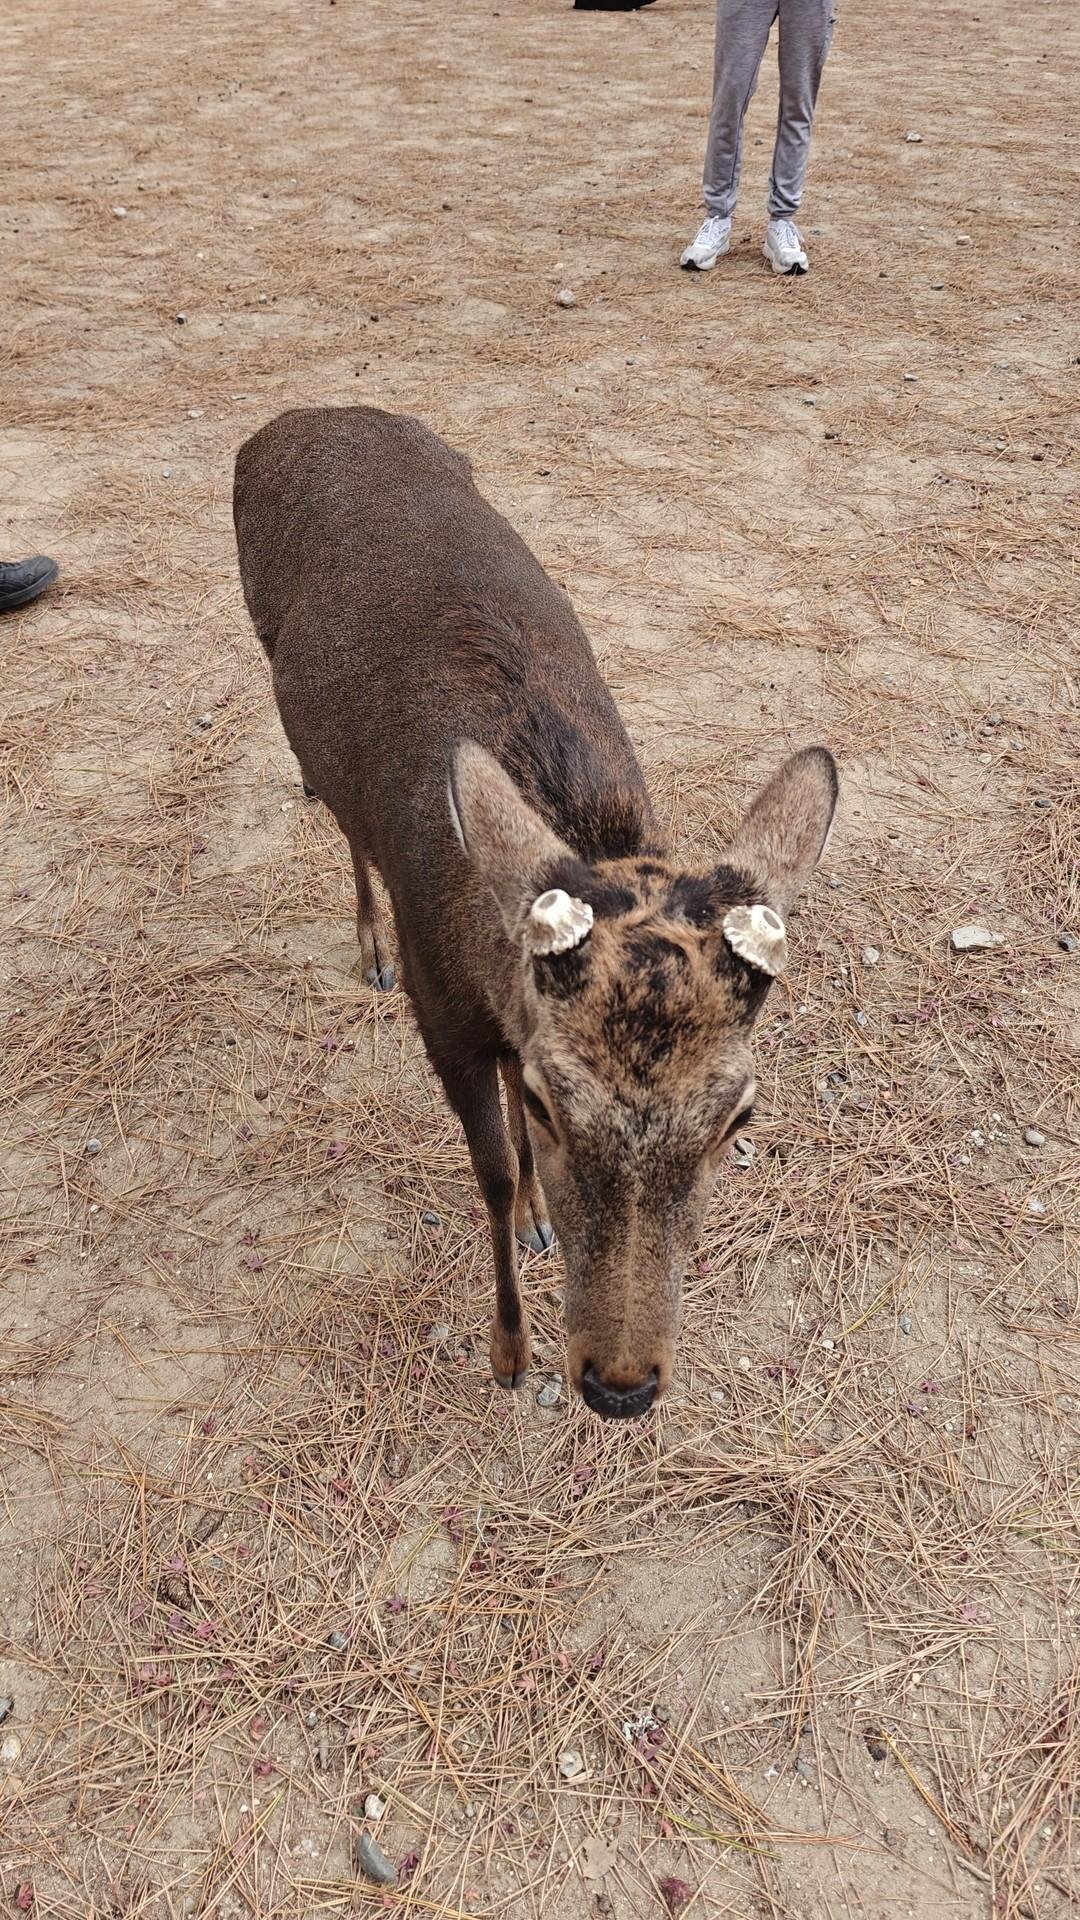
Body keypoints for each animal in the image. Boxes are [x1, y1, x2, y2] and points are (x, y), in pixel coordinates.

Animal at [233, 406, 837, 1422]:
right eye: (559, 1107)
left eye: (739, 1118)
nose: (621, 1384)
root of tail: (286, 421)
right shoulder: (442, 1016)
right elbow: (490, 1166)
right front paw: (509, 1349)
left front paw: (541, 1220)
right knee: (340, 815)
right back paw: (367, 945)